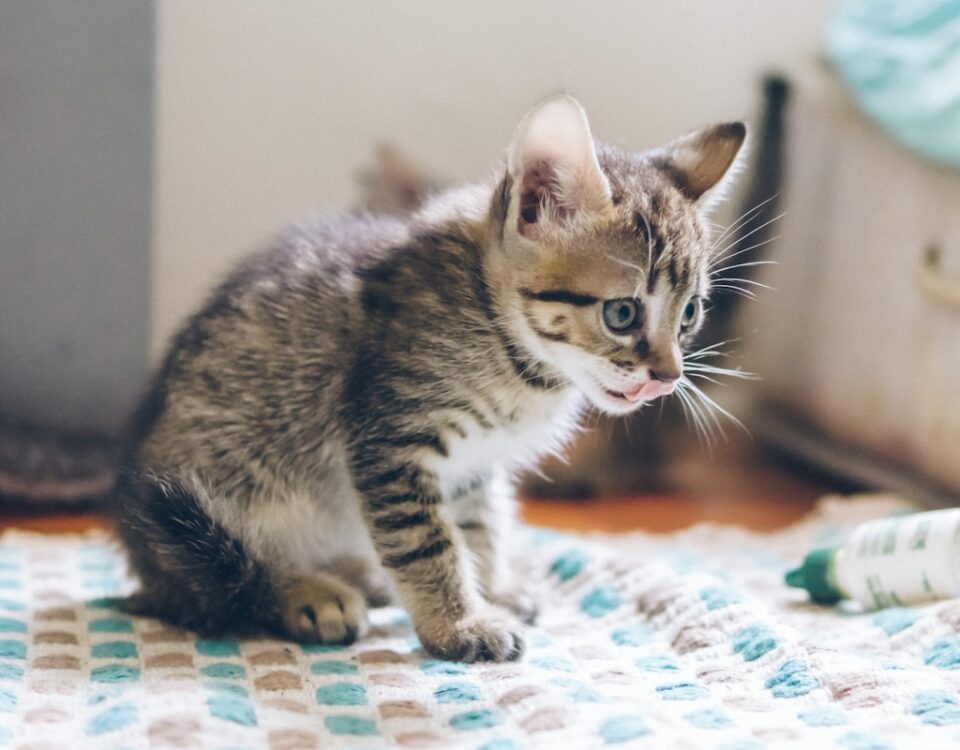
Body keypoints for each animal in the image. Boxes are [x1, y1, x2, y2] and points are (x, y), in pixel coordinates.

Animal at [114, 95, 744, 664]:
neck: (511, 349)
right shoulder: (389, 439)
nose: (667, 378)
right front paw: (460, 624)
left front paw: (488, 591)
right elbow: (427, 542)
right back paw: (307, 590)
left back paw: (360, 574)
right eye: (622, 313)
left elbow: (476, 528)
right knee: (226, 581)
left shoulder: (471, 463)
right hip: (218, 495)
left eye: (690, 314)